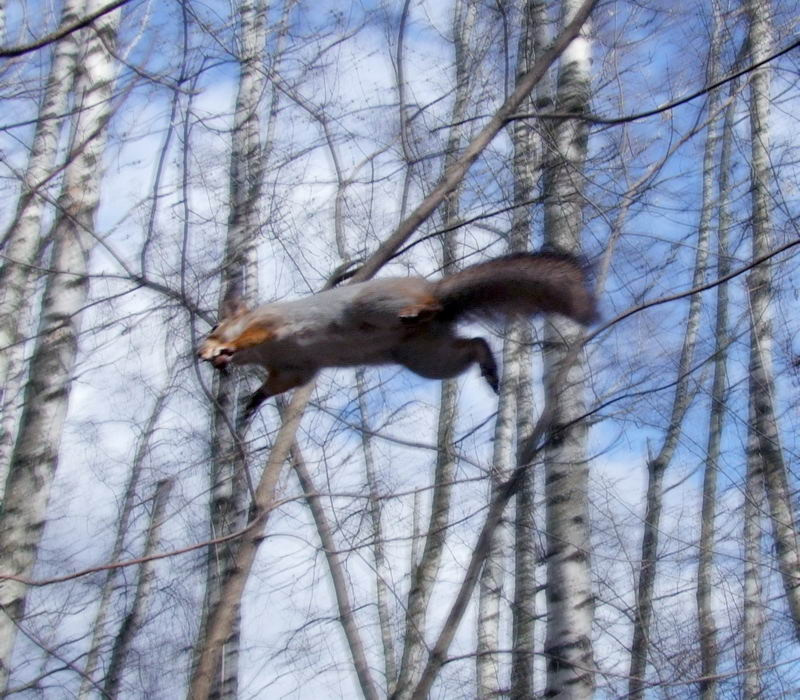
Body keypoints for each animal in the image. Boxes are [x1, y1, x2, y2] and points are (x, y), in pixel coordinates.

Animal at [198, 252, 597, 416]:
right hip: (430, 358)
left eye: (214, 327)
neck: (265, 356)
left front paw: (228, 349)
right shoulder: (293, 368)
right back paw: (489, 367)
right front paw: (254, 399)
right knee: (474, 344)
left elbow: (252, 335)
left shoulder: (272, 324)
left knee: (429, 309)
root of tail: (437, 294)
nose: (200, 354)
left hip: (377, 305)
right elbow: (280, 384)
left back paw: (417, 311)